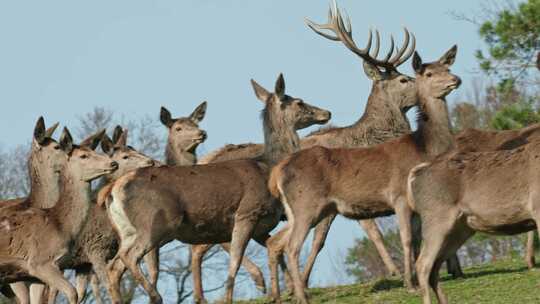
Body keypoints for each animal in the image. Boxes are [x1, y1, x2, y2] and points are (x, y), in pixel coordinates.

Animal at [0, 126, 117, 304]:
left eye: (93, 150)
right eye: (83, 156)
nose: (113, 163)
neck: (60, 225)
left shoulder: (35, 276)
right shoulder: (39, 262)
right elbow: (72, 293)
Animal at [103, 74, 330, 304]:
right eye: (299, 102)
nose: (327, 112)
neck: (268, 168)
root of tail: (114, 189)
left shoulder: (261, 225)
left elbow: (273, 247)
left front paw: (282, 292)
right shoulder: (247, 212)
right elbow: (235, 260)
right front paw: (234, 297)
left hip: (127, 231)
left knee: (113, 266)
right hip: (156, 222)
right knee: (130, 257)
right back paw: (155, 295)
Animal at [272, 42, 462, 302]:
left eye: (448, 67)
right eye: (429, 73)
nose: (455, 79)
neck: (424, 147)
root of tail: (277, 173)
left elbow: (419, 239)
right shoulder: (399, 196)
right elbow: (406, 239)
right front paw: (410, 284)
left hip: (301, 212)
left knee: (277, 242)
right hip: (306, 207)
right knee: (292, 247)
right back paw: (301, 295)